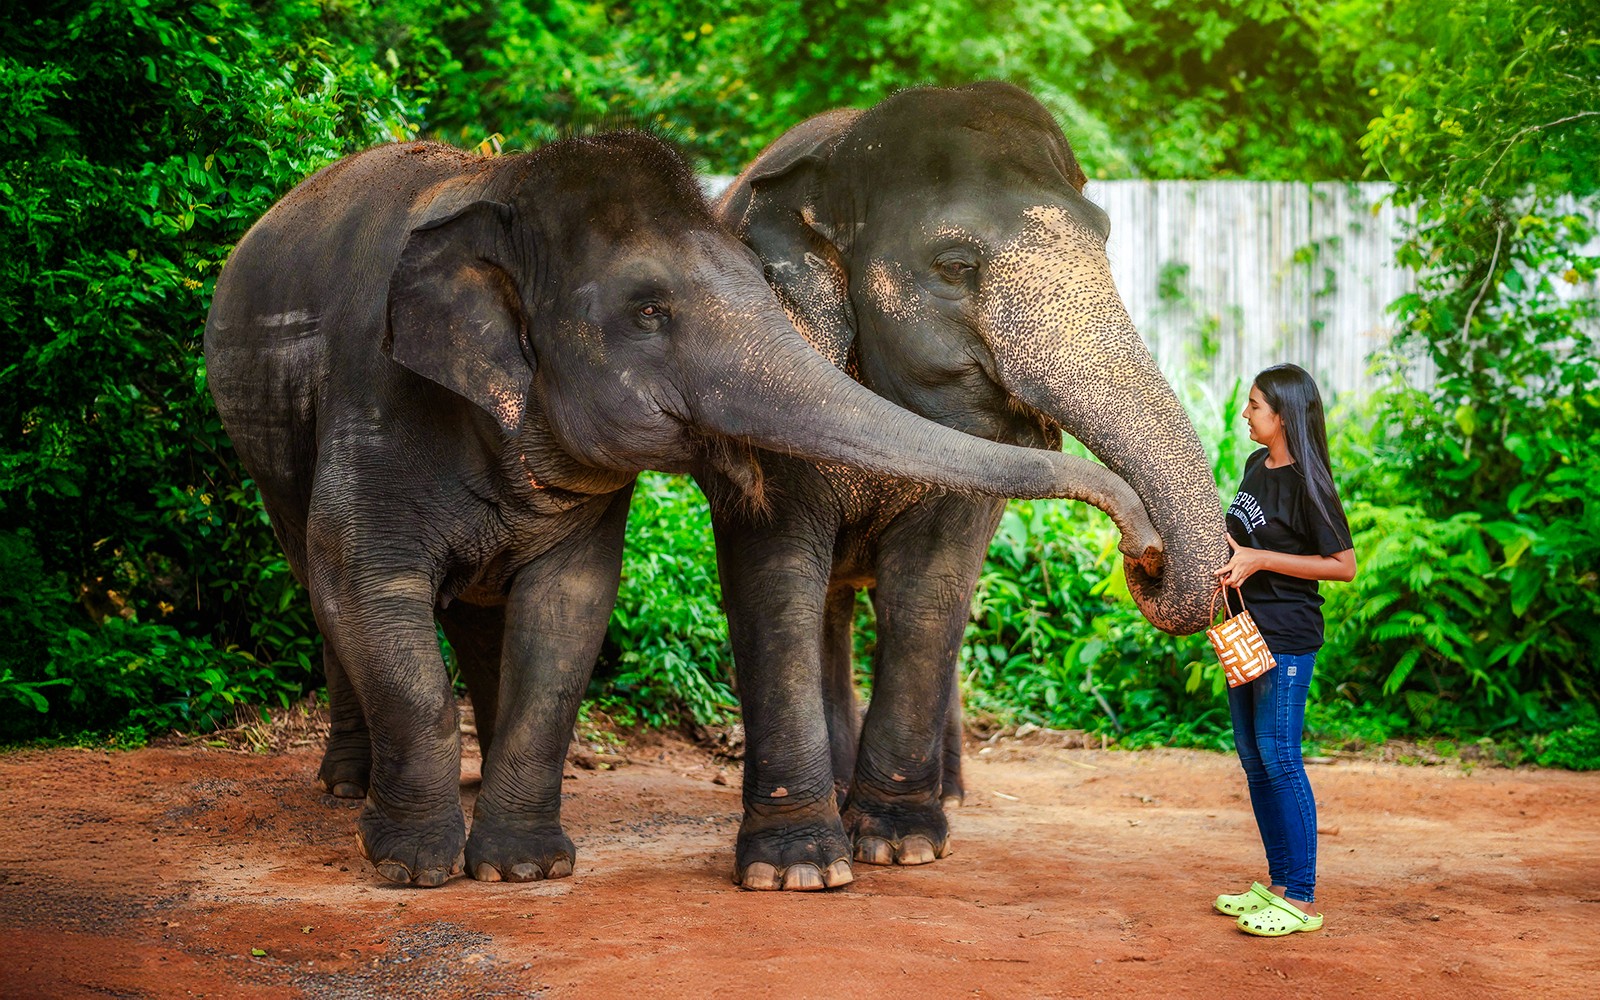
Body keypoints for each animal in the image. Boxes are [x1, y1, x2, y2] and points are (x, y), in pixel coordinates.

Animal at [203, 129, 1164, 888]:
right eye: (648, 312)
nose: (1146, 550)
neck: (505, 188)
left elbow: (570, 610)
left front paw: (521, 869)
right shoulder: (375, 399)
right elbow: (369, 591)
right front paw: (414, 869)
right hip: (262, 434)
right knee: (317, 580)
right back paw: (345, 787)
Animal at [701, 82, 1228, 889]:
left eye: (1106, 239)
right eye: (954, 265)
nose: (1146, 552)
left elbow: (931, 586)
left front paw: (901, 845)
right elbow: (776, 579)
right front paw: (796, 870)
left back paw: (944, 794)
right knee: (826, 603)